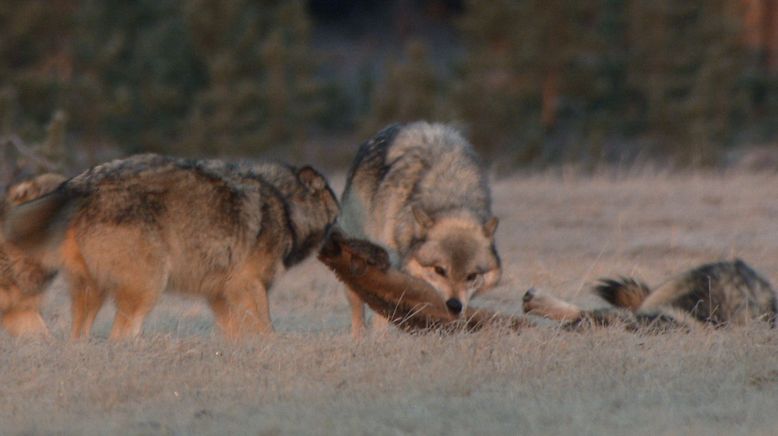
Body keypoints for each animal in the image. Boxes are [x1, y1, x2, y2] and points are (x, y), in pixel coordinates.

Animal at [336, 122, 500, 338]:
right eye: (440, 270)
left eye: (471, 276)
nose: (454, 306)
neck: (449, 196)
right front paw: (381, 340)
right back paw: (359, 338)